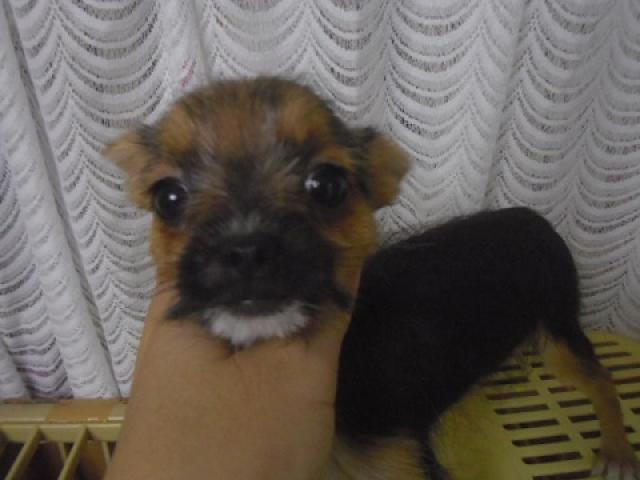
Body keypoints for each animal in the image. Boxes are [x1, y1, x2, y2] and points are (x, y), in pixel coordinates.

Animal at [106, 76, 637, 479]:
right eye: (167, 198)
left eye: (327, 185)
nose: (245, 249)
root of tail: (532, 216)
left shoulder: (397, 461)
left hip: (559, 328)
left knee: (602, 378)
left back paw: (616, 451)